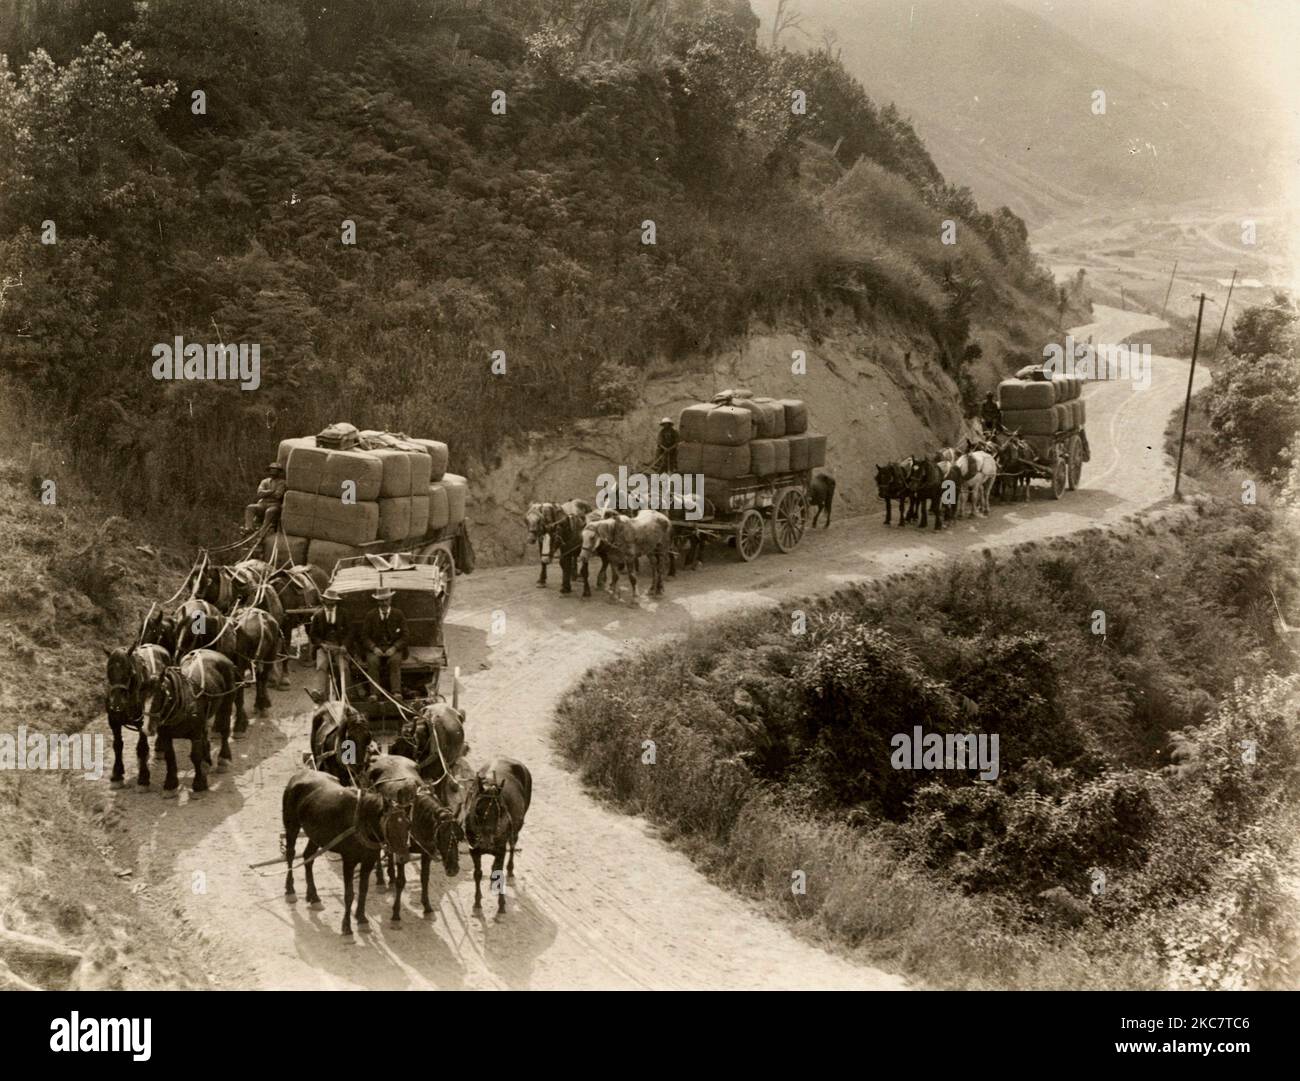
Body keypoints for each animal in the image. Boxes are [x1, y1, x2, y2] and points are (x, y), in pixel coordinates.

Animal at [283, 769, 410, 935]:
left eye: (408, 825)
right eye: (390, 827)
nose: (403, 857)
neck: (362, 822)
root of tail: (300, 774)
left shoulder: (368, 861)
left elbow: (363, 890)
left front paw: (362, 919)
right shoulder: (349, 861)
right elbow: (349, 894)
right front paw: (347, 926)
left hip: (316, 835)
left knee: (308, 857)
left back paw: (314, 896)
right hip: (292, 826)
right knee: (291, 854)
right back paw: (290, 890)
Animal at [462, 758, 533, 914]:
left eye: (500, 810)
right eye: (477, 809)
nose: (486, 842)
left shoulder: (500, 850)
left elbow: (500, 871)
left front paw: (501, 904)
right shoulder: (474, 850)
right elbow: (477, 874)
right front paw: (477, 903)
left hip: (516, 829)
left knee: (512, 845)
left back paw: (510, 870)